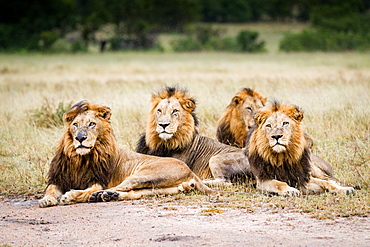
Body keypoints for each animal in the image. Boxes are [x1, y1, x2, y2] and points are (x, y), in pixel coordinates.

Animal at [38, 99, 223, 207]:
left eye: (91, 124)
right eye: (75, 124)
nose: (80, 138)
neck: (79, 158)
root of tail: (190, 171)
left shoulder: (99, 180)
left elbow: (90, 188)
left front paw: (70, 196)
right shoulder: (58, 178)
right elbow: (51, 190)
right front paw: (46, 199)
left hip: (145, 174)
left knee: (120, 187)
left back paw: (98, 195)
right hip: (159, 188)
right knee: (134, 193)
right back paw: (110, 196)